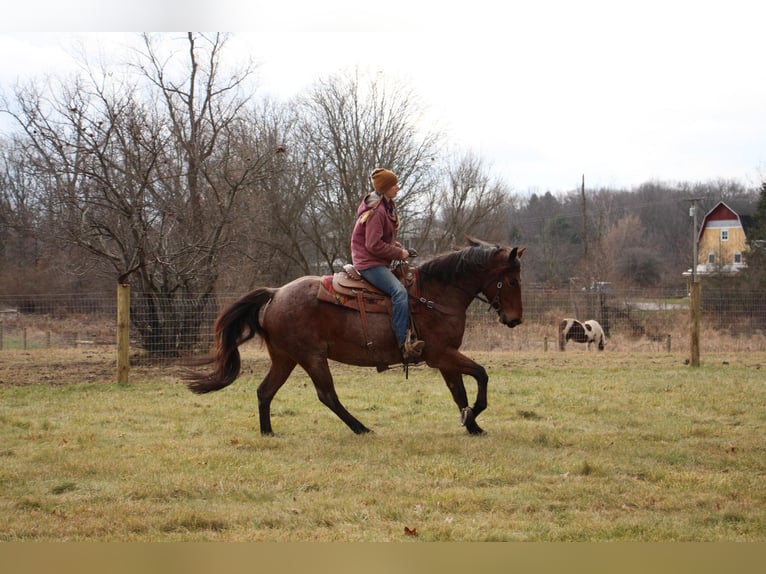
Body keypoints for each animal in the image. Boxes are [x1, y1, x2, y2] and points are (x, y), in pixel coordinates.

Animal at [183, 238, 524, 436]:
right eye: (510, 281)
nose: (515, 319)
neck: (436, 294)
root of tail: (276, 293)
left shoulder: (445, 357)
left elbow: (459, 392)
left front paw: (472, 424)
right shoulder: (440, 354)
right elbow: (481, 374)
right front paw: (474, 415)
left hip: (285, 358)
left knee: (265, 391)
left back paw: (268, 433)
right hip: (311, 358)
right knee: (327, 396)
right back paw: (360, 428)